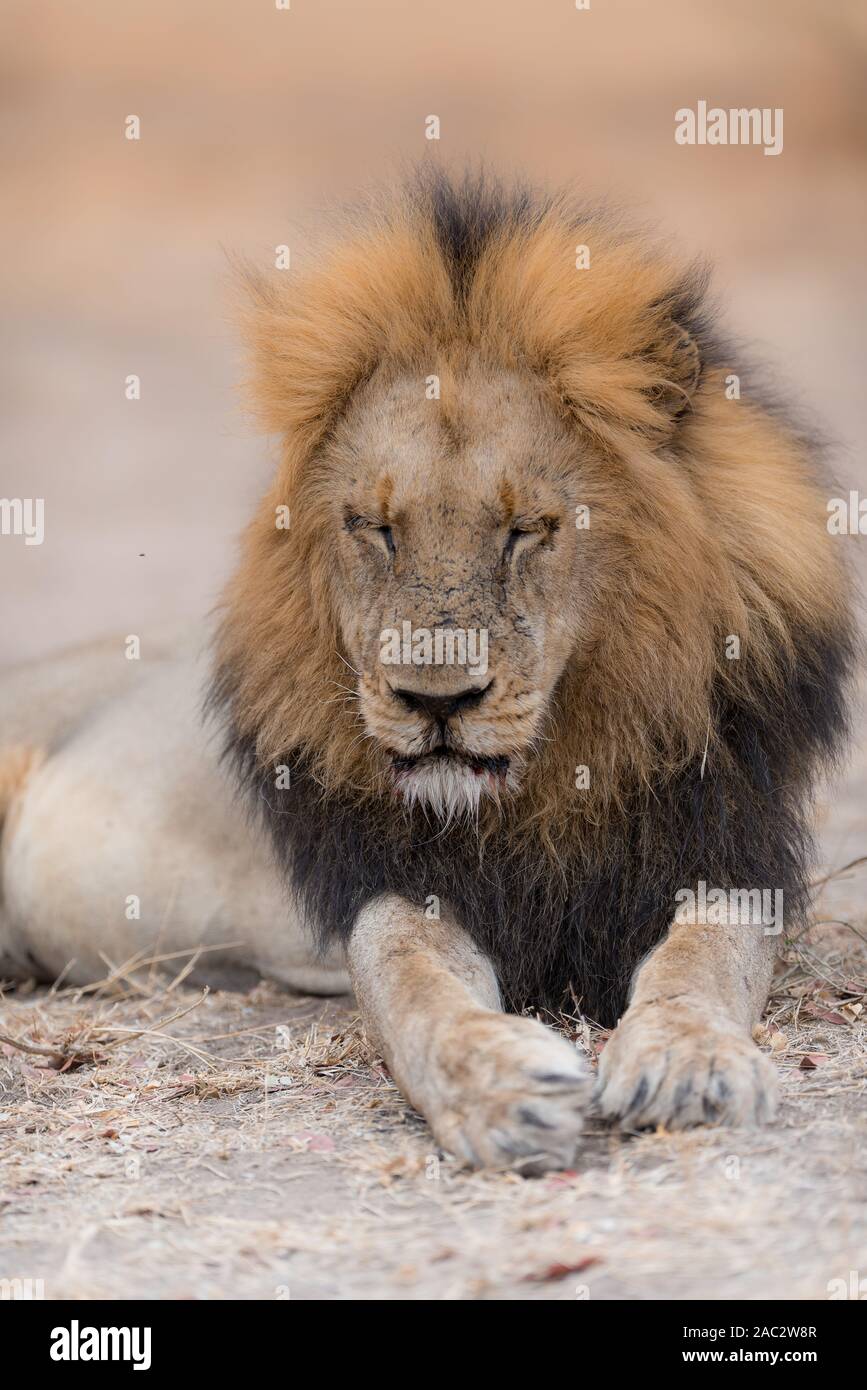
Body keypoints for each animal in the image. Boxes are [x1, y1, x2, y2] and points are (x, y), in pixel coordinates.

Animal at [0, 171, 855, 1171]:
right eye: (376, 529)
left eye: (526, 530)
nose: (434, 702)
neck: (555, 773)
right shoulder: (394, 883)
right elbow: (412, 990)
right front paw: (499, 1087)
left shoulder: (725, 852)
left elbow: (701, 962)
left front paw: (691, 1063)